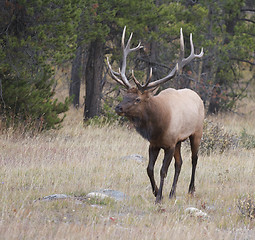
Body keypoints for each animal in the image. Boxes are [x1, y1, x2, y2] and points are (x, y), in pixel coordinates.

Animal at [106, 25, 204, 202]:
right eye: (125, 95)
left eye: (137, 99)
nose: (118, 108)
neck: (158, 126)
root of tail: (198, 97)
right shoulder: (154, 144)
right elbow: (149, 169)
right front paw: (156, 191)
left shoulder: (169, 144)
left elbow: (162, 171)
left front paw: (159, 197)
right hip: (179, 141)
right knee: (180, 163)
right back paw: (172, 193)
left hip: (196, 133)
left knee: (194, 160)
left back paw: (191, 190)